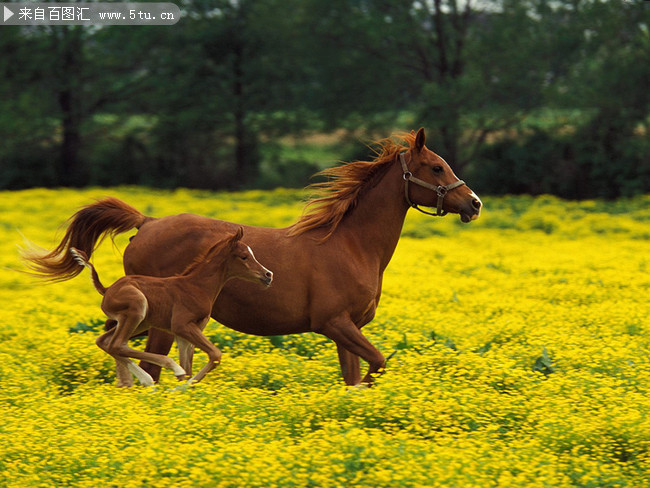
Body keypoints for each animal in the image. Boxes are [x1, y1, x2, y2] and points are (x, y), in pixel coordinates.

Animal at [69, 230, 272, 388]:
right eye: (244, 256)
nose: (268, 275)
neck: (197, 286)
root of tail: (107, 289)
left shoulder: (187, 332)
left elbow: (189, 367)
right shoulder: (181, 325)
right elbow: (215, 355)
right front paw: (180, 387)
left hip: (140, 322)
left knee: (106, 342)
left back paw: (146, 381)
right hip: (137, 307)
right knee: (117, 344)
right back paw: (165, 371)